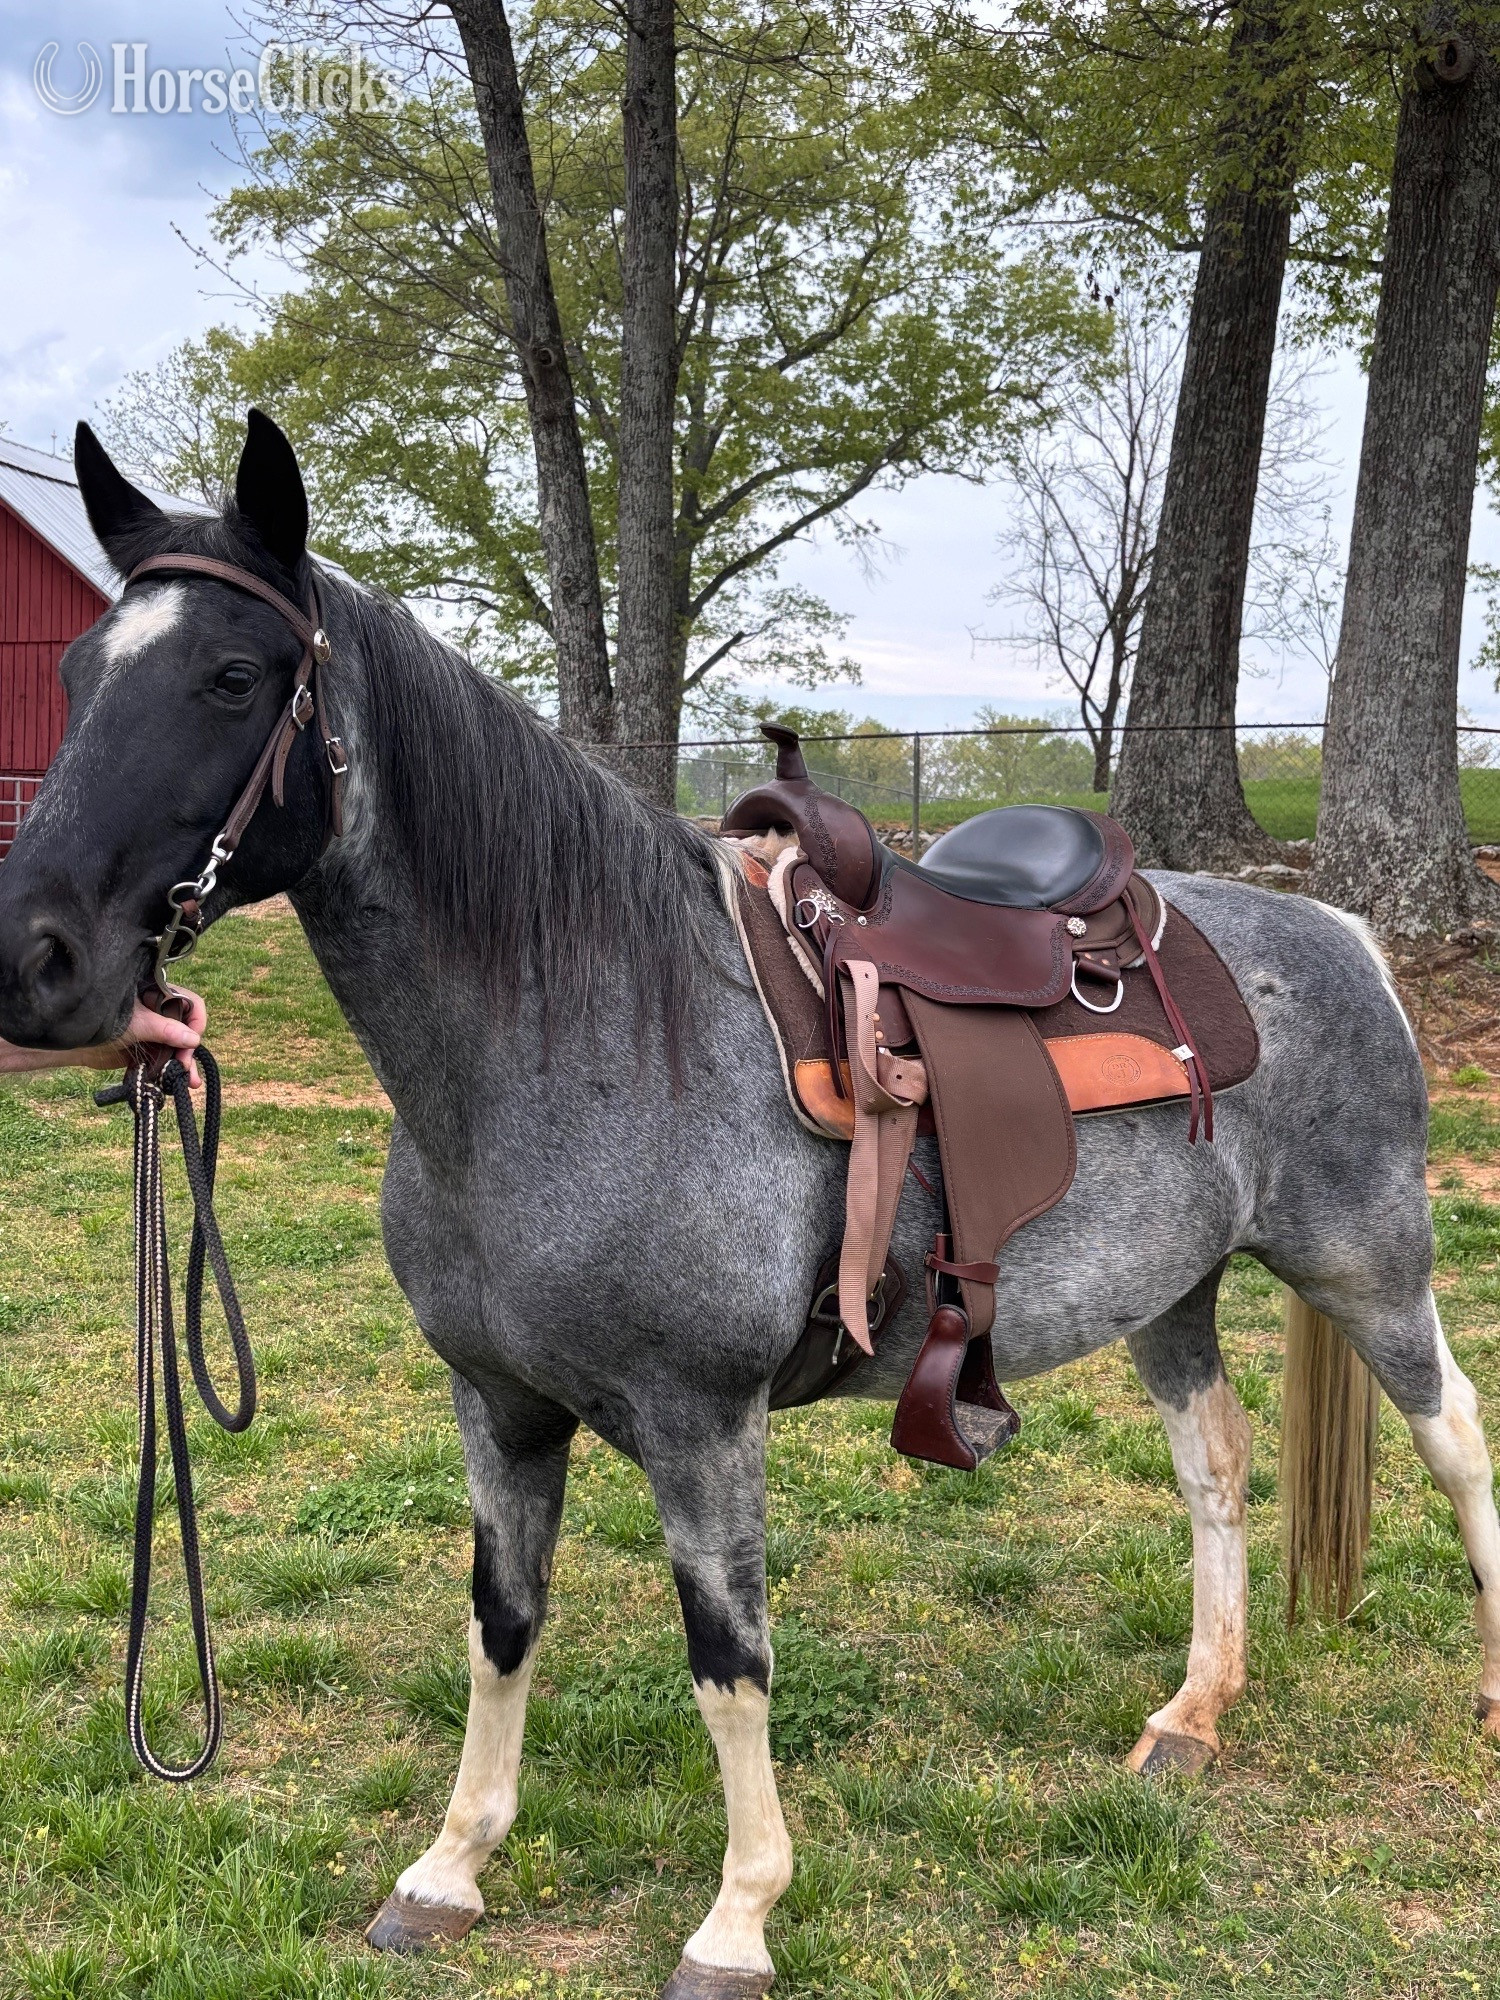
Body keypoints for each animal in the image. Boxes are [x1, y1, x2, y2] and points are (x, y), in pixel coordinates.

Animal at [1, 410, 1496, 1999]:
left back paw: (1483, 1693)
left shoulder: (700, 1421)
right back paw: (1192, 1716)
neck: (581, 1045)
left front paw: (737, 1916)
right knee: (1214, 1466)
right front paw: (452, 1865)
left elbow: (729, 1658)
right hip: (1175, 1292)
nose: (34, 958)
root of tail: (1341, 930)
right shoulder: (496, 1403)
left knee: (1455, 1436)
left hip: (1368, 1261)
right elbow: (502, 1624)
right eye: (77, 673)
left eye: (232, 677)